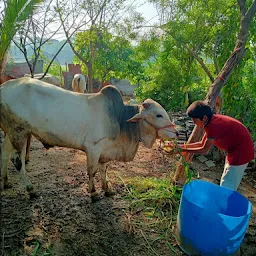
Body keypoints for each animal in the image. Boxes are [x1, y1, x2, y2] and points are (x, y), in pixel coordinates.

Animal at [0, 78, 177, 200]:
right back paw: (30, 190)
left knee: (5, 154)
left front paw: (107, 189)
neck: (120, 118)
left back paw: (5, 181)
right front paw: (93, 193)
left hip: (12, 133)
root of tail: (3, 87)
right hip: (19, 132)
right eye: (158, 115)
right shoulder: (93, 148)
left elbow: (104, 169)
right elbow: (92, 171)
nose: (175, 133)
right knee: (18, 161)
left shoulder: (104, 150)